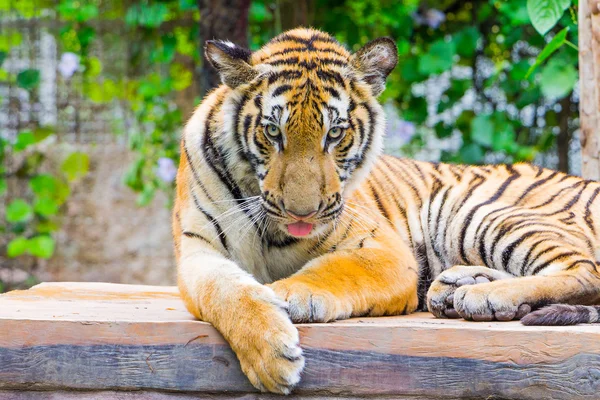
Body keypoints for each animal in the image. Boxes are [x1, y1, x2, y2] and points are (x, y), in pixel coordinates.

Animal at [171, 28, 600, 394]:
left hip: (476, 212)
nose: (302, 214)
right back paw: (458, 286)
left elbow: (335, 269)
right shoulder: (197, 249)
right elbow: (225, 292)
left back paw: (484, 296)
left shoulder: (384, 249)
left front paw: (290, 293)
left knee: (584, 271)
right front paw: (269, 357)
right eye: (273, 132)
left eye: (335, 133)